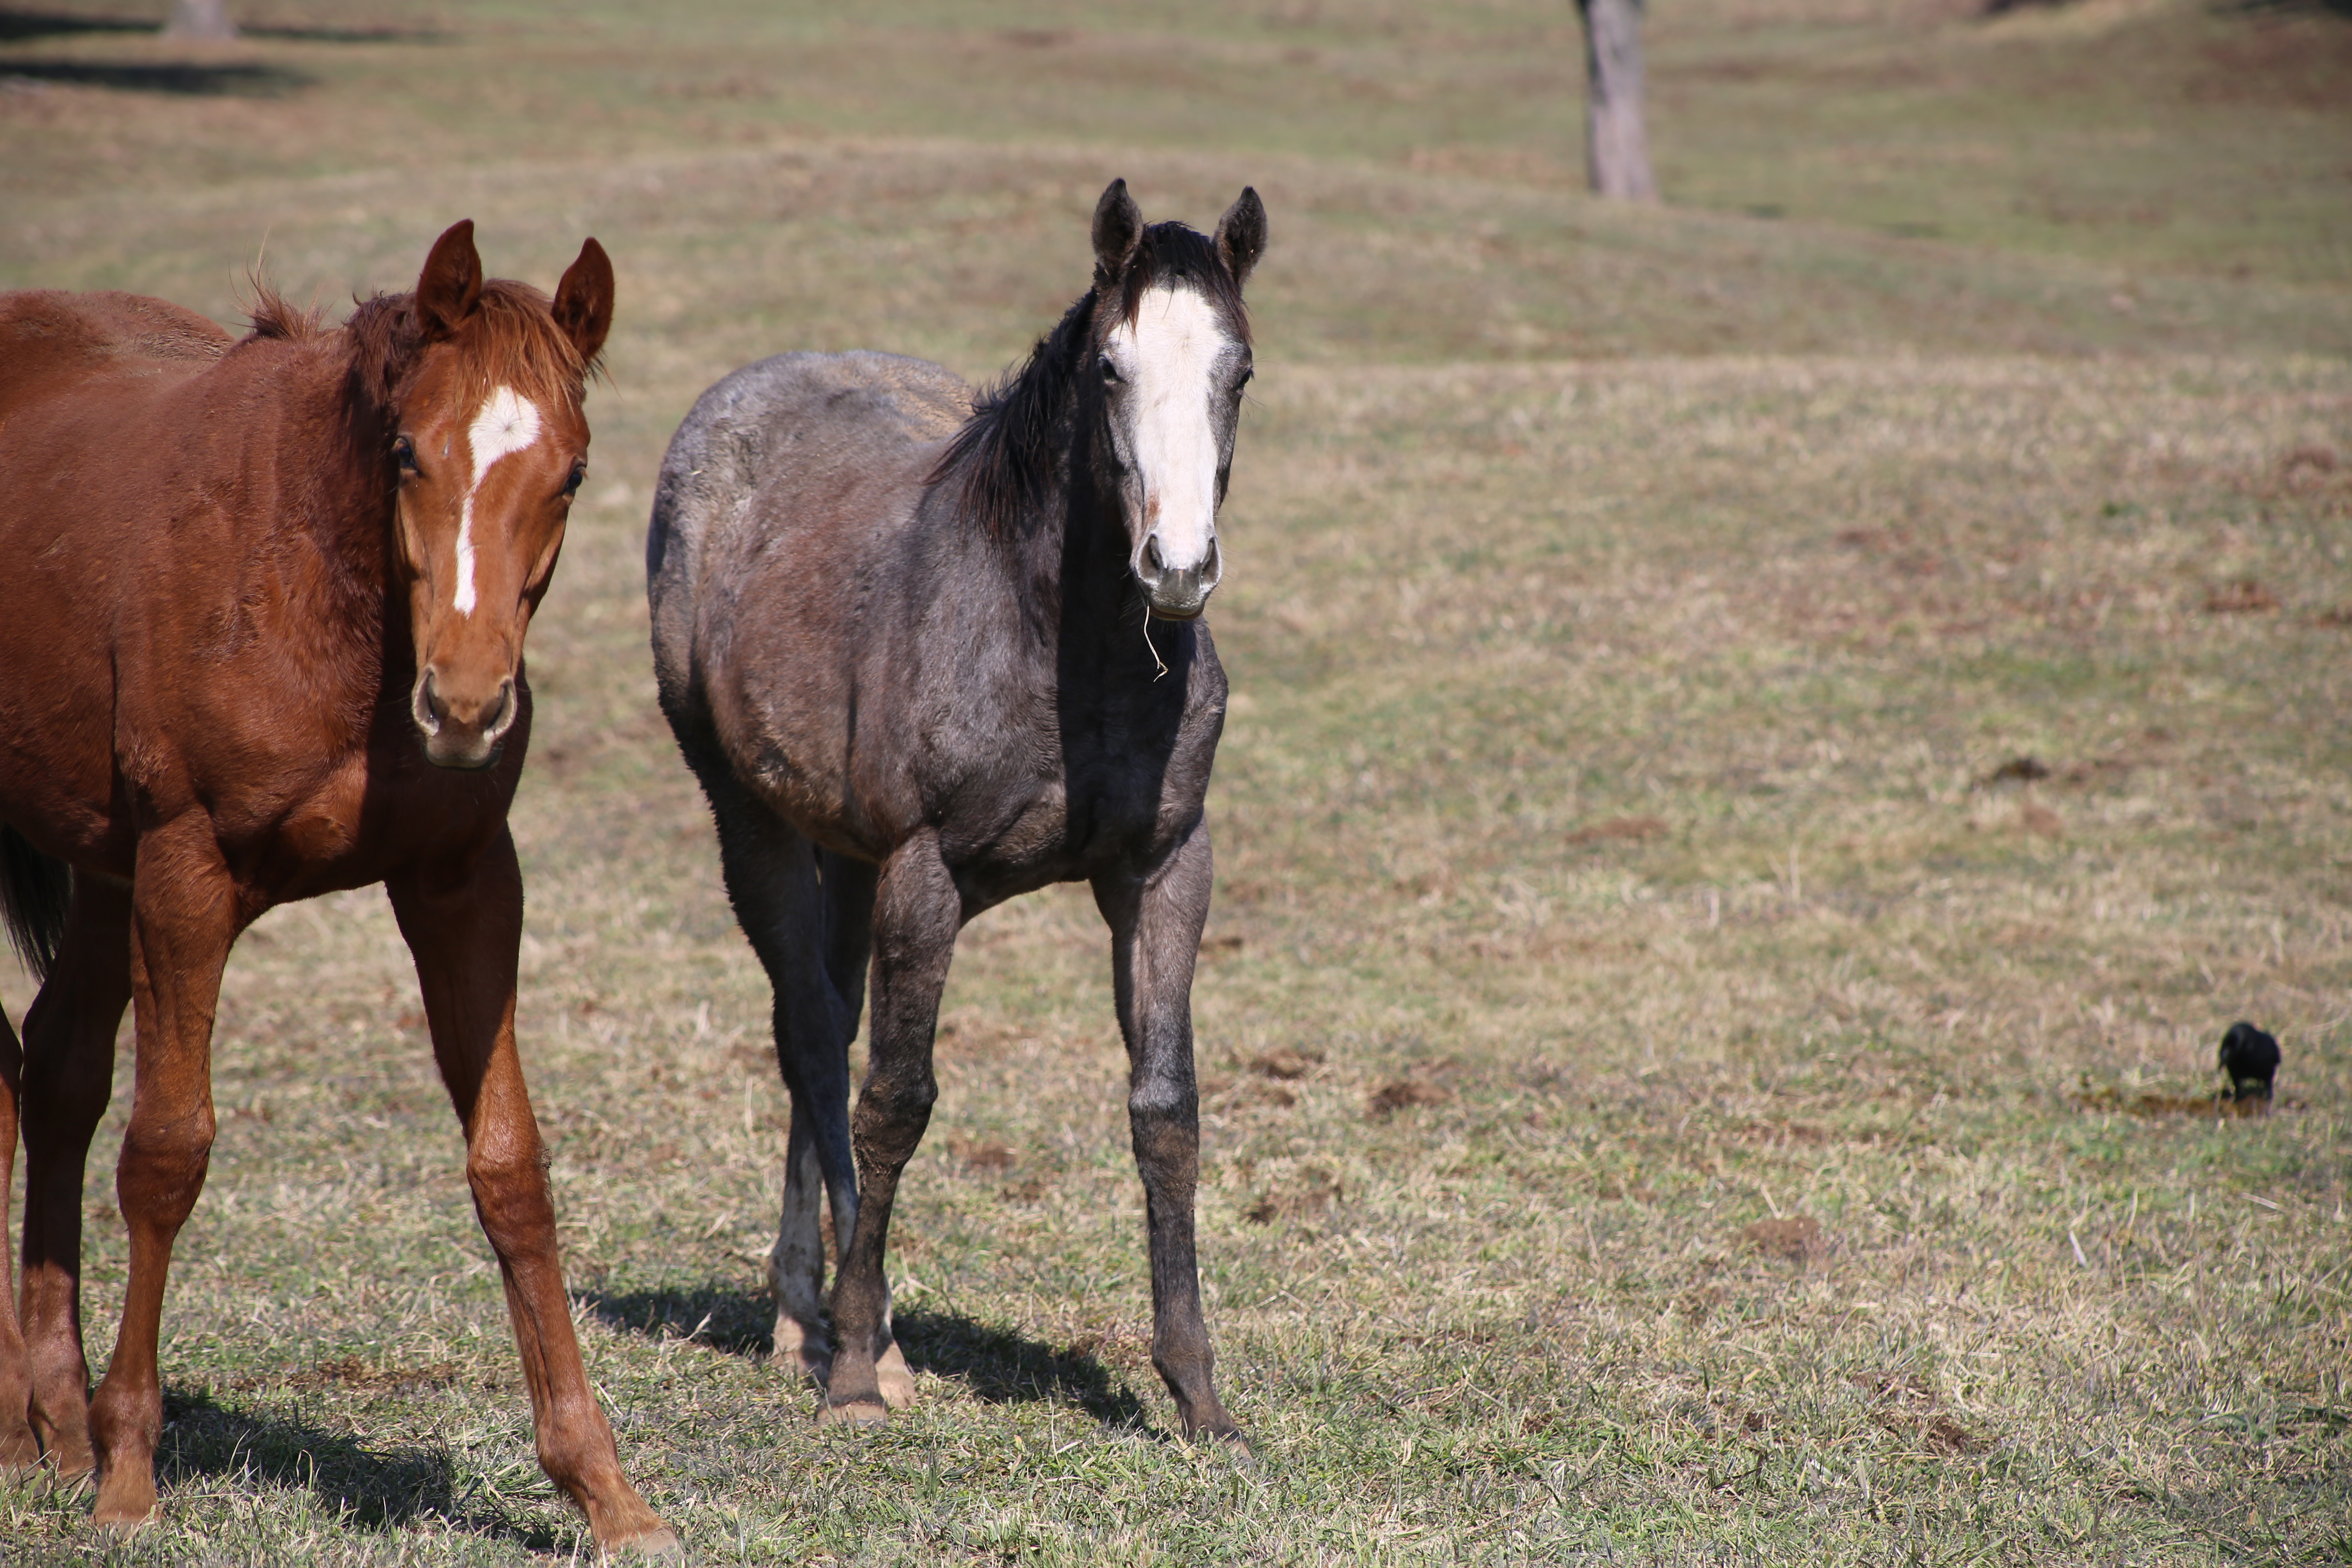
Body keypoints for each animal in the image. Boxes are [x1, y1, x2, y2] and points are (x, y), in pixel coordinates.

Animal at [0, 221, 682, 1561]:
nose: (464, 705)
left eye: (573, 474)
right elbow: (167, 1153)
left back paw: (52, 1417)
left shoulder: (462, 878)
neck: (313, 577)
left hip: (97, 864)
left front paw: (605, 1488)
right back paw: (35, 1424)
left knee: (52, 1073)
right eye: (410, 451)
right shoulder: (186, 875)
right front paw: (130, 1476)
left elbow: (510, 1168)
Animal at [644, 177, 1270, 1439]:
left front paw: (1197, 1393)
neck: (1066, 652)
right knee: (811, 1032)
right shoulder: (925, 873)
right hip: (754, 819)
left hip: (845, 848)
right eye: (1112, 368)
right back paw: (850, 1333)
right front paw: (853, 1374)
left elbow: (1166, 1111)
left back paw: (802, 1309)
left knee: (824, 1016)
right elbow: (897, 1099)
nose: (1176, 567)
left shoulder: (1166, 868)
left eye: (1238, 370)